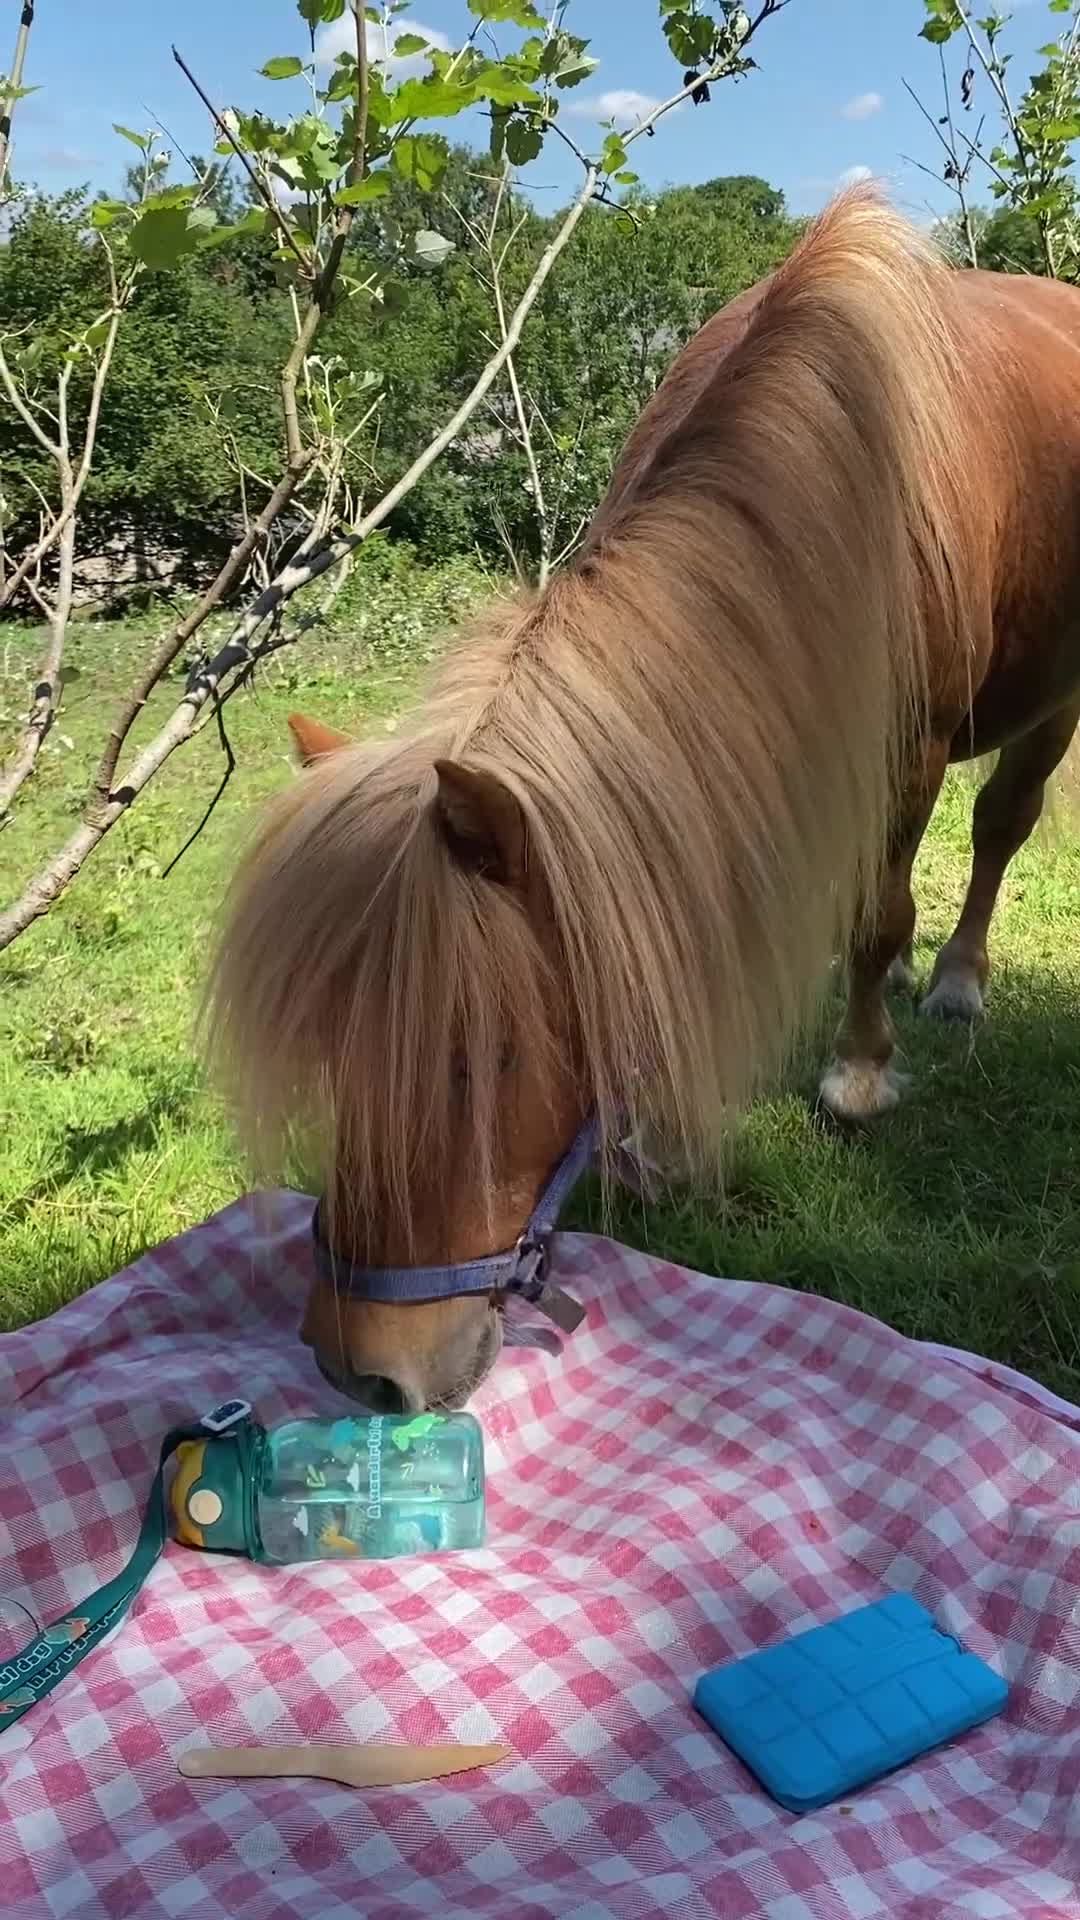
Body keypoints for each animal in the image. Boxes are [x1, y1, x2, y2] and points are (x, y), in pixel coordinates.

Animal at [208, 185, 1080, 1413]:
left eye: (483, 1060)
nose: (357, 1367)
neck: (849, 478)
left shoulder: (901, 754)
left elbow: (877, 912)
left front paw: (859, 1069)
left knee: (1002, 822)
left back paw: (954, 980)